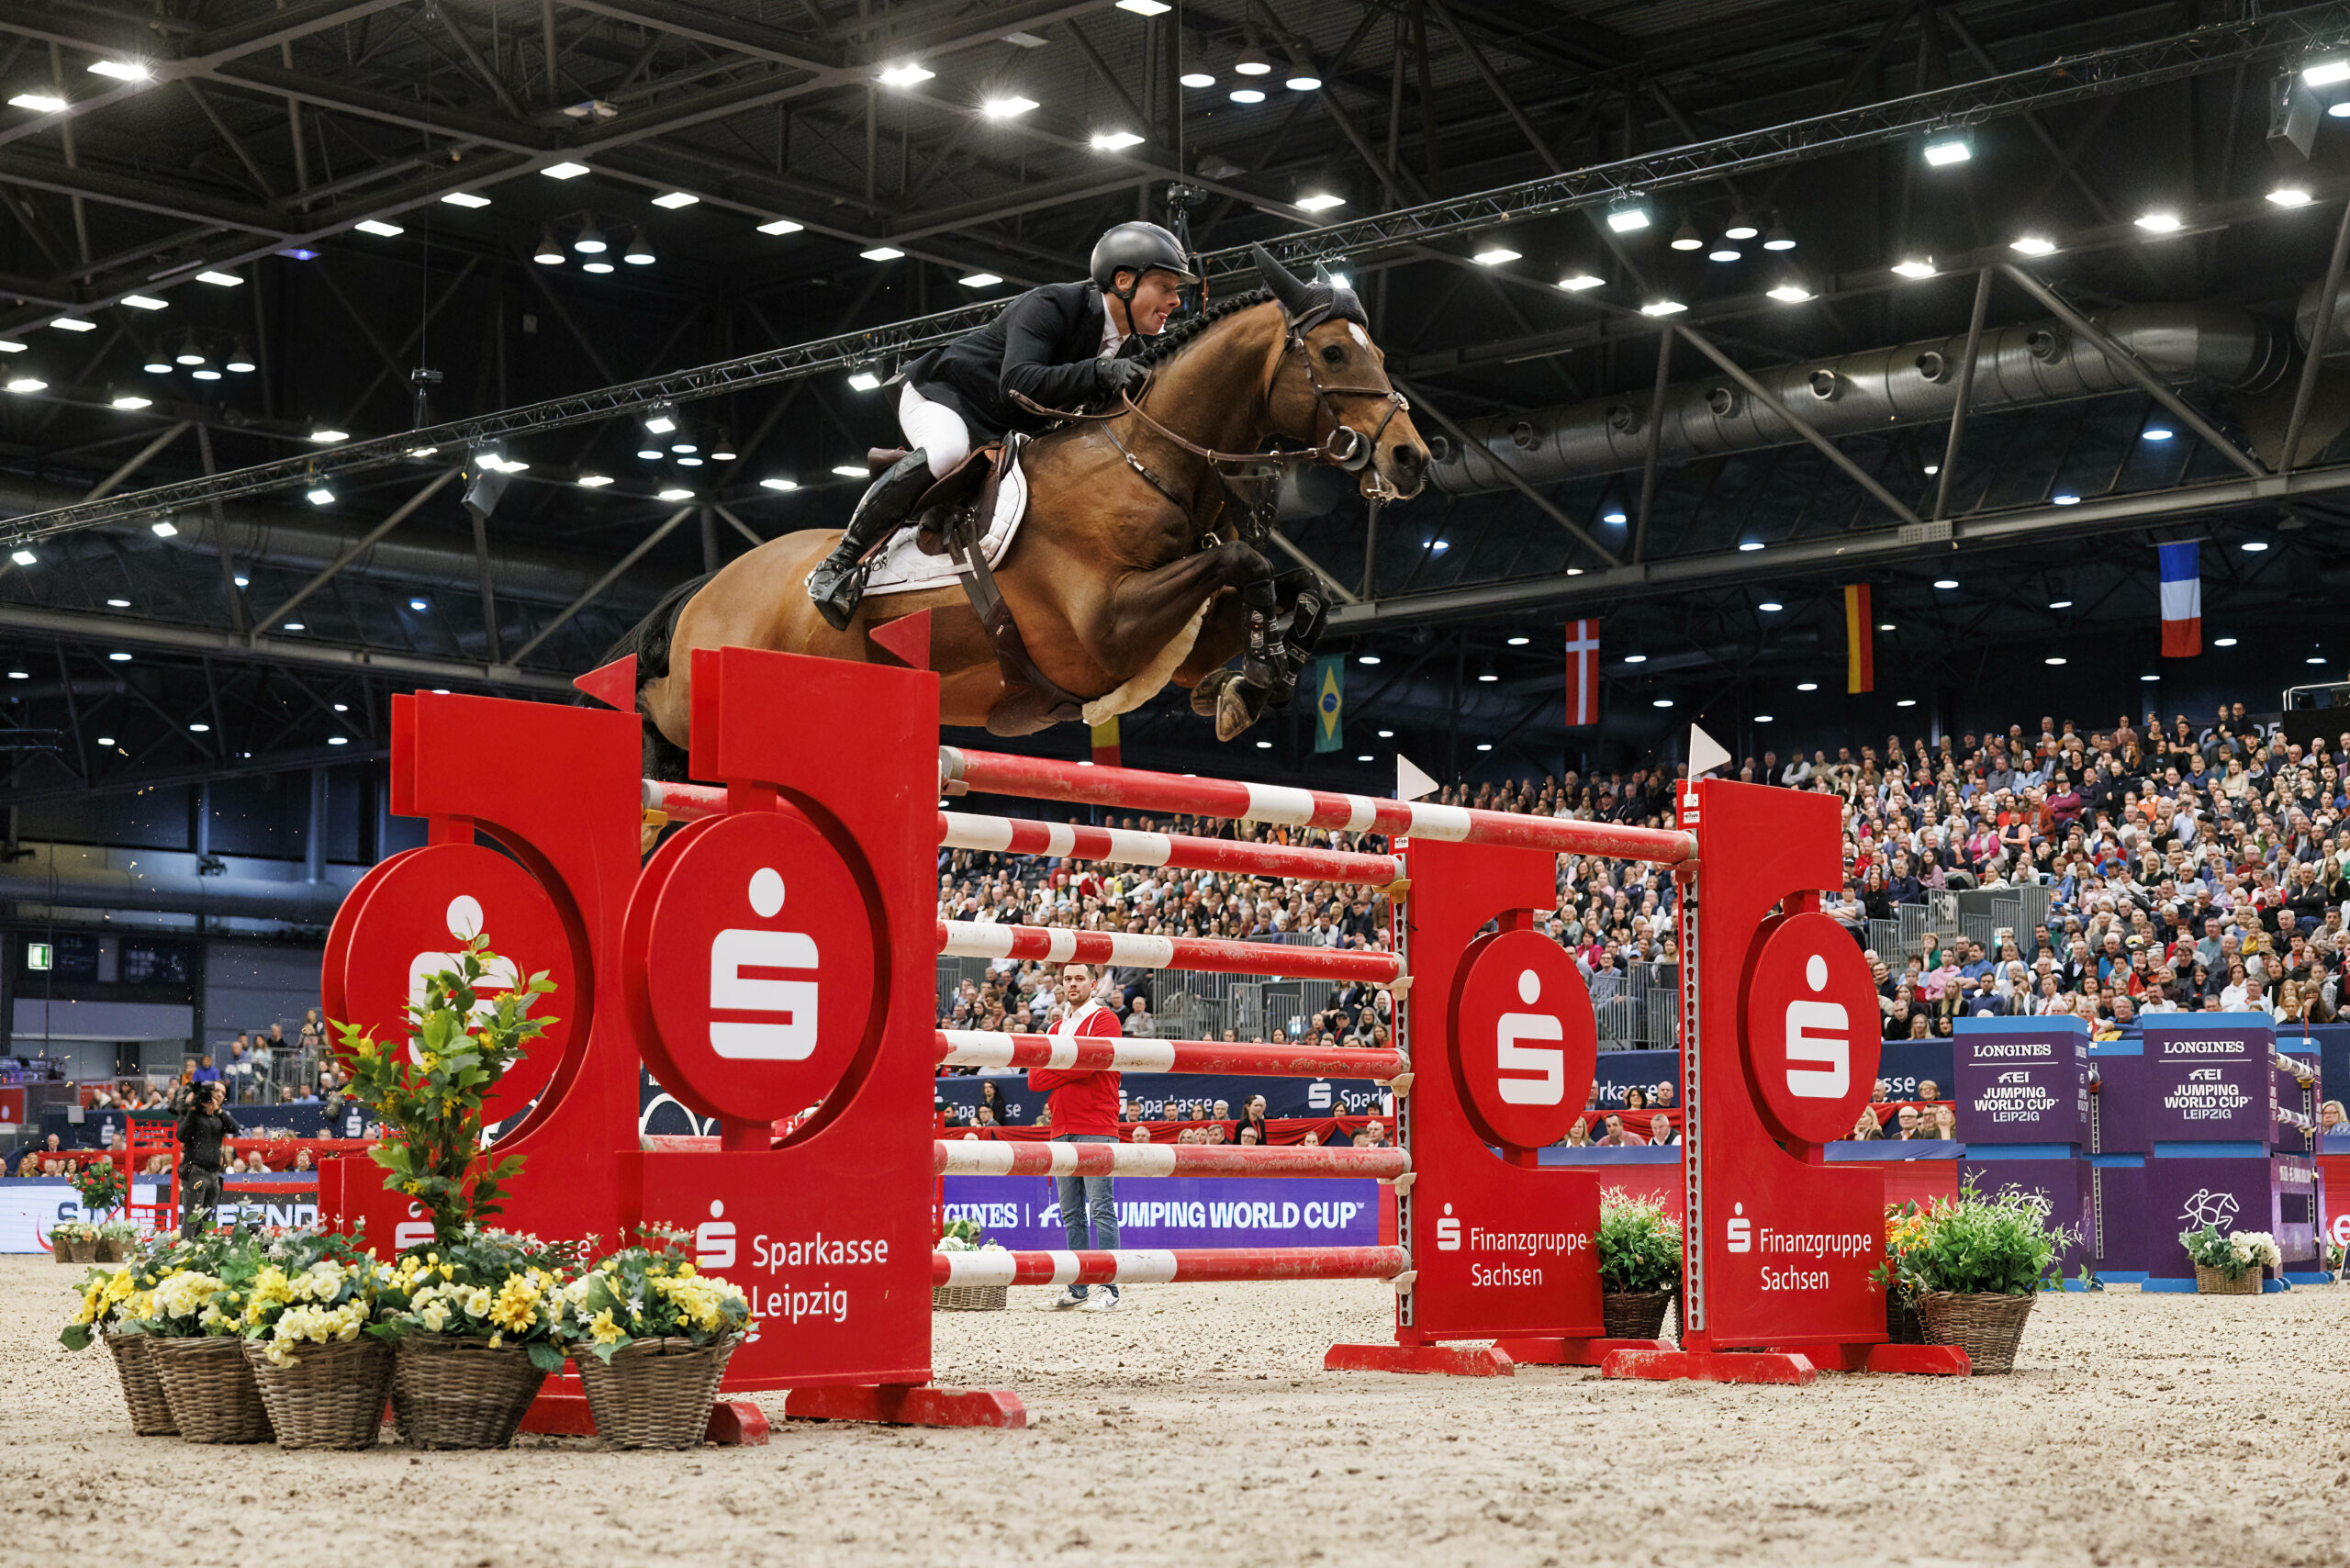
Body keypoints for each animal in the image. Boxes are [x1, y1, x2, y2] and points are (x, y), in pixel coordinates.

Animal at [620, 245, 1428, 770]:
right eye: (1332, 354)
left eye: (1381, 353)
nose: (1411, 460)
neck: (1149, 465)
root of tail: (710, 585)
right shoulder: (1107, 629)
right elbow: (1246, 560)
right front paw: (1256, 677)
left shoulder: (1184, 639)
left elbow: (1296, 586)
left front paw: (1253, 681)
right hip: (699, 695)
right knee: (655, 709)